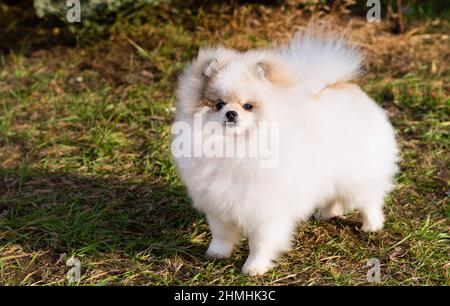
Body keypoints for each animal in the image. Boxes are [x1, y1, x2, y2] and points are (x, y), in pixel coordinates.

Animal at [171, 28, 398, 274]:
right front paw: (217, 253)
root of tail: (343, 86)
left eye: (248, 106)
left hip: (358, 175)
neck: (238, 146)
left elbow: (260, 242)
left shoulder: (266, 209)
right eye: (219, 104)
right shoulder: (218, 203)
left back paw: (372, 225)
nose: (231, 113)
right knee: (334, 197)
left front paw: (254, 267)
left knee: (370, 200)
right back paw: (326, 213)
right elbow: (221, 234)